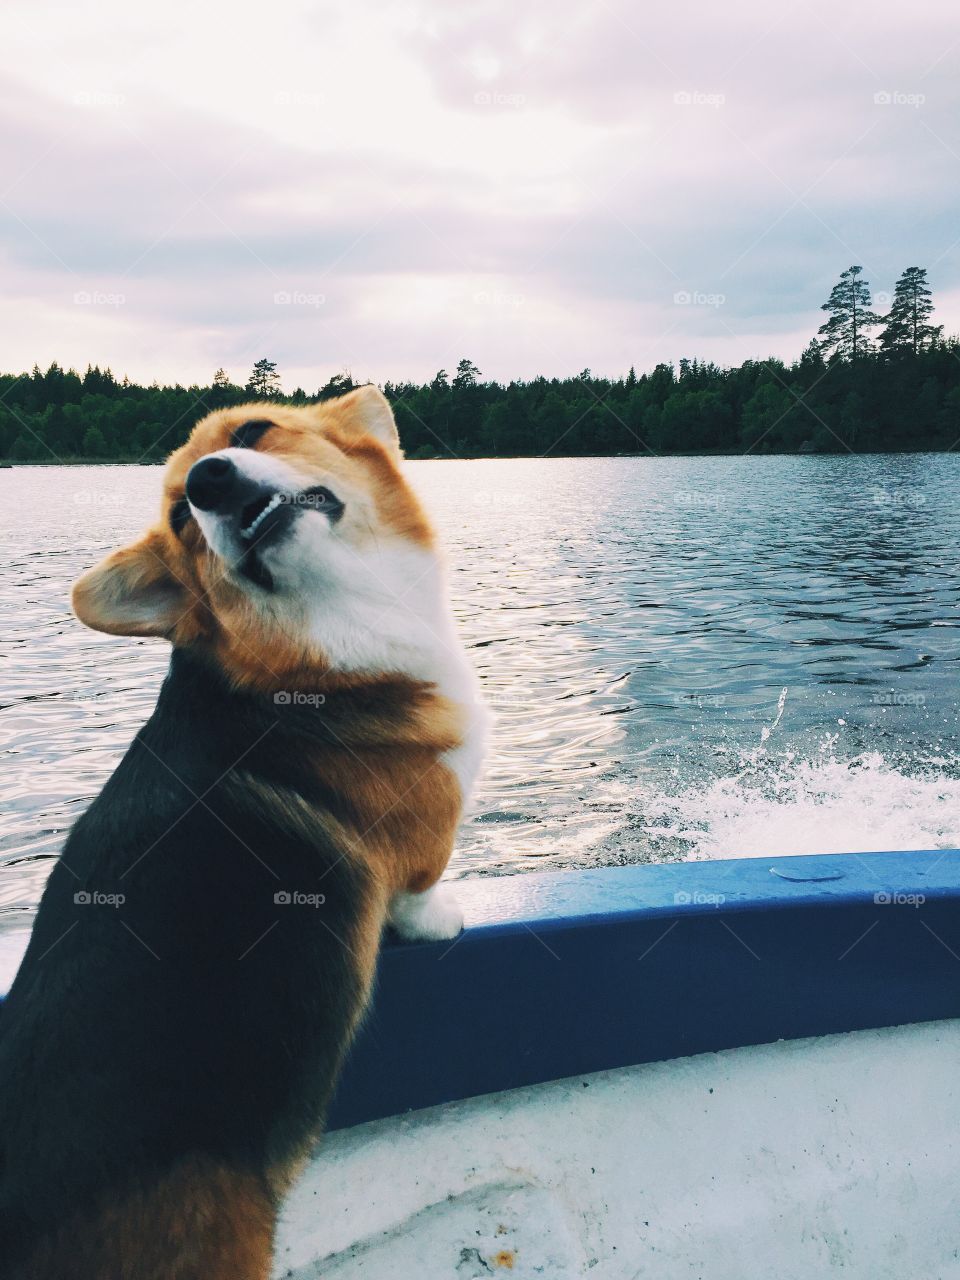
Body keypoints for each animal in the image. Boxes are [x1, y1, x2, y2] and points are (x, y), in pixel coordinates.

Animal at [0, 386, 483, 1280]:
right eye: (182, 517)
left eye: (253, 431)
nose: (210, 484)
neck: (319, 630)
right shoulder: (424, 835)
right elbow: (420, 890)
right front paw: (443, 919)